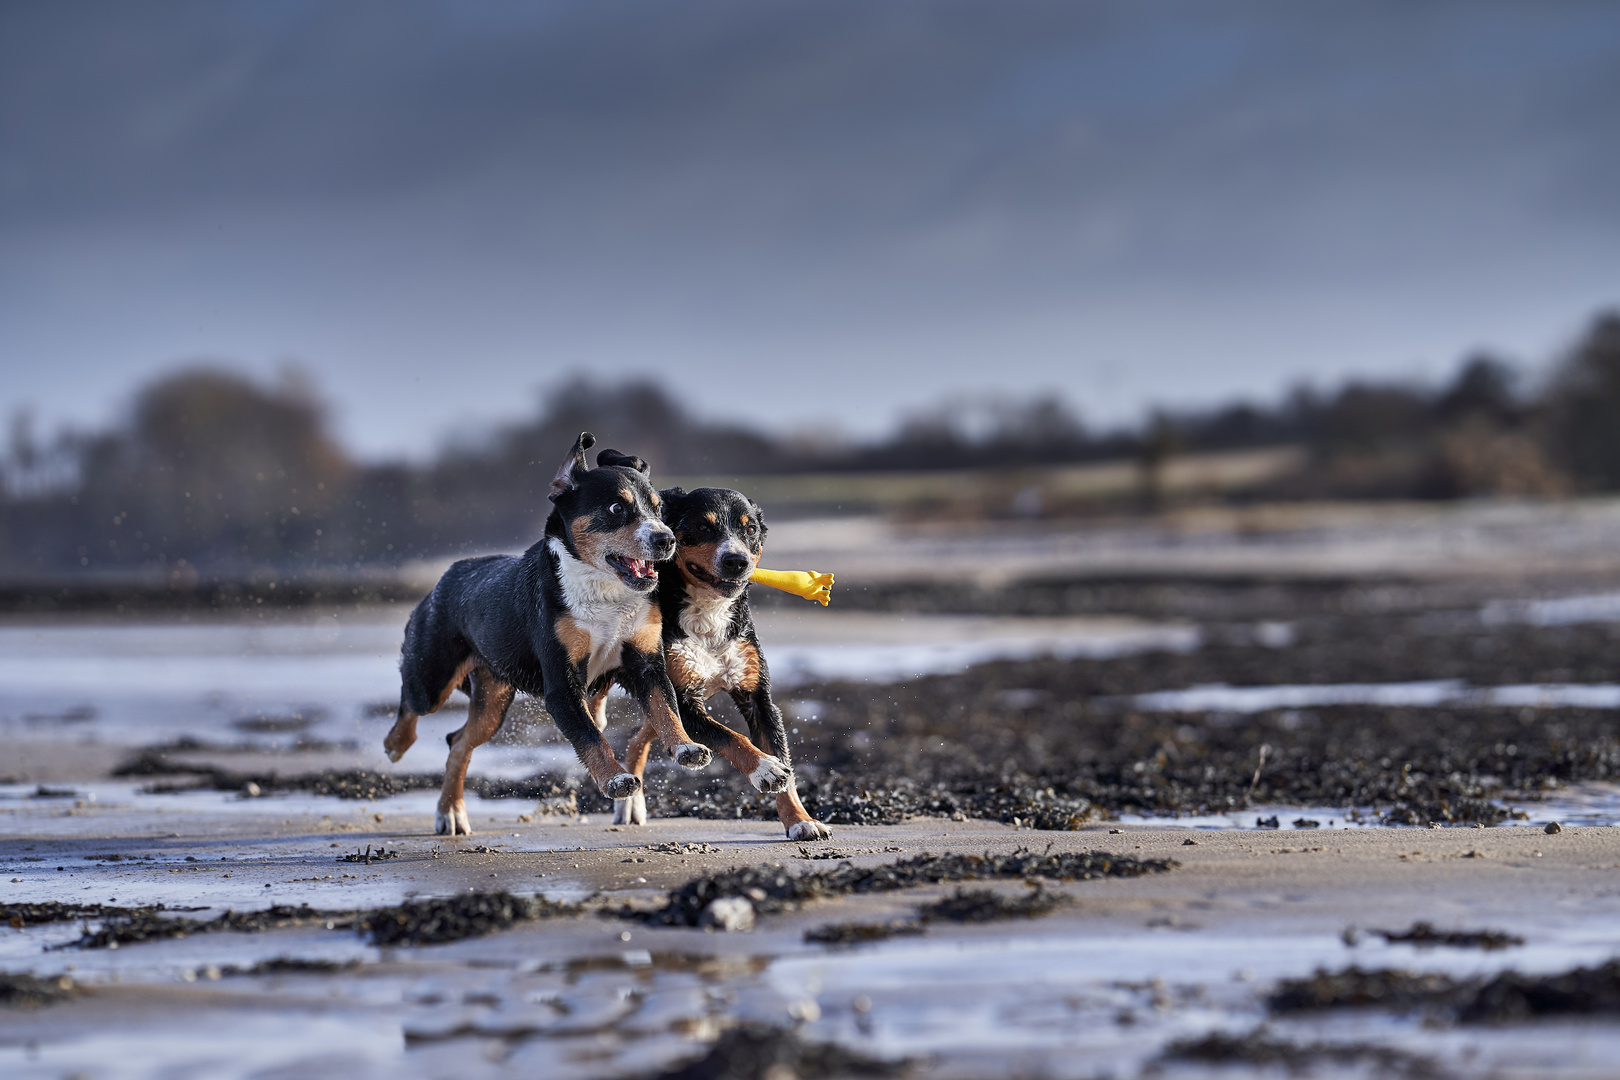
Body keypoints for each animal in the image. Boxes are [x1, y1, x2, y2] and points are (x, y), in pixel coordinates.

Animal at [379, 430, 716, 835]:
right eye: (616, 508)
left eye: (658, 509)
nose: (666, 540)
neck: (605, 595)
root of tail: (446, 577)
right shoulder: (562, 684)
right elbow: (591, 737)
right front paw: (616, 779)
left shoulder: (647, 663)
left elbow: (665, 710)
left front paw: (686, 747)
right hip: (432, 677)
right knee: (411, 706)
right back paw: (396, 746)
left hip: (493, 698)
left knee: (458, 742)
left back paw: (451, 812)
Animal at [609, 485, 829, 841]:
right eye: (703, 526)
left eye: (749, 530)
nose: (736, 560)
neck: (708, 616)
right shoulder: (684, 700)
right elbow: (731, 737)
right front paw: (764, 769)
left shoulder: (759, 699)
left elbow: (785, 767)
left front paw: (801, 821)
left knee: (639, 737)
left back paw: (632, 804)